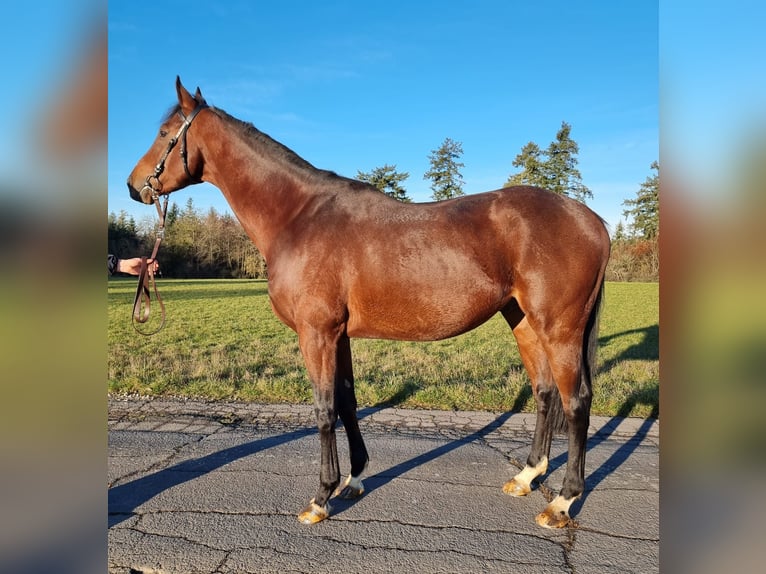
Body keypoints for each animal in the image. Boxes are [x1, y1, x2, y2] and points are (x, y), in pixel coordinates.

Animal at [129, 77, 616, 532]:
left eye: (164, 132)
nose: (134, 187)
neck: (299, 217)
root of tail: (593, 221)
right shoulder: (338, 335)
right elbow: (347, 400)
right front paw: (355, 478)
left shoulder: (317, 334)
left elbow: (325, 409)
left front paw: (321, 497)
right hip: (524, 322)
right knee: (545, 393)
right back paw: (528, 476)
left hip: (560, 329)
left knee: (576, 402)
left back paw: (562, 501)